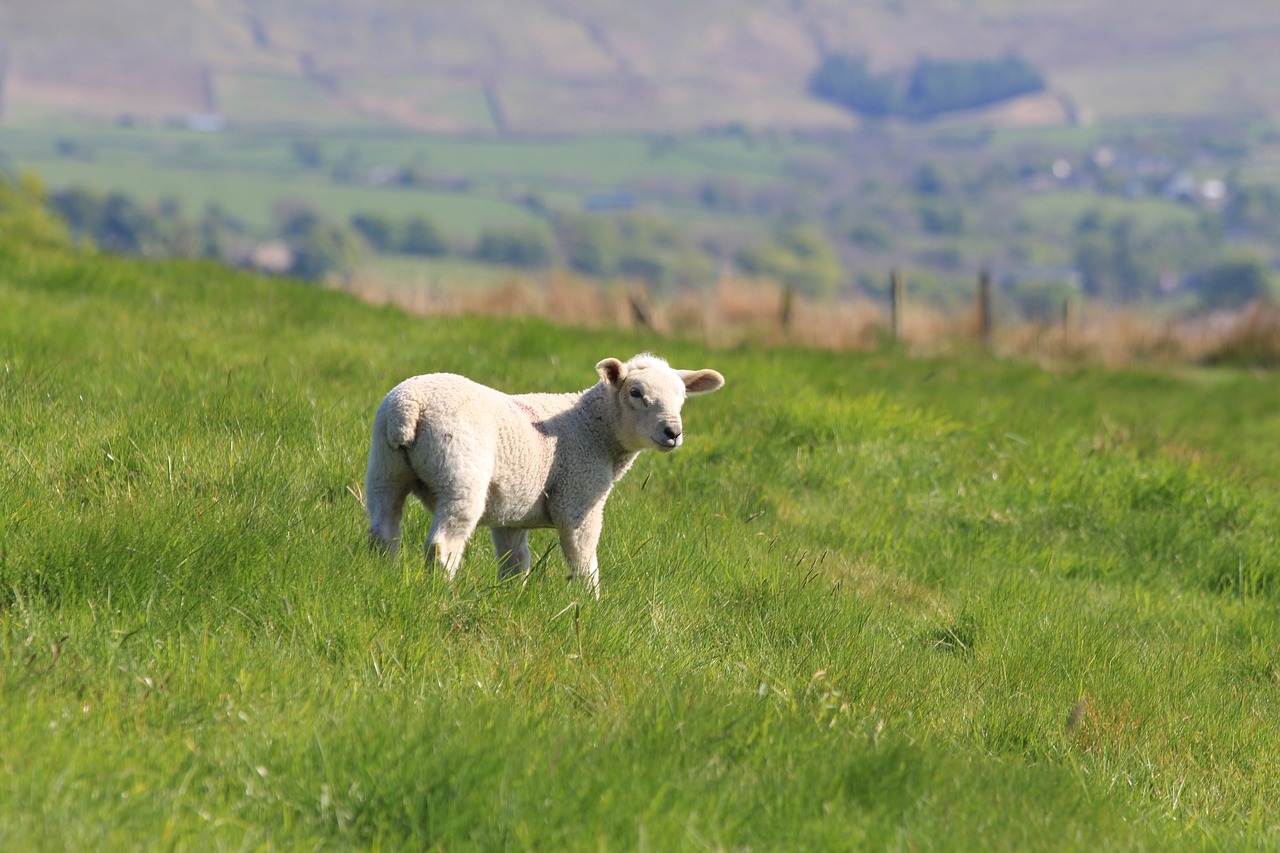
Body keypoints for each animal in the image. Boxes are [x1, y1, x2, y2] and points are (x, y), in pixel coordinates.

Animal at [363, 348, 721, 594]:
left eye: (682, 397)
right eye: (635, 392)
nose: (673, 432)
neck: (594, 427)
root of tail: (409, 408)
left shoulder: (510, 511)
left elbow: (515, 562)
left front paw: (510, 598)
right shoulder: (578, 499)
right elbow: (583, 560)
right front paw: (588, 605)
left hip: (384, 467)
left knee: (383, 532)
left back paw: (384, 577)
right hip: (459, 472)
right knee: (443, 544)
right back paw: (443, 594)